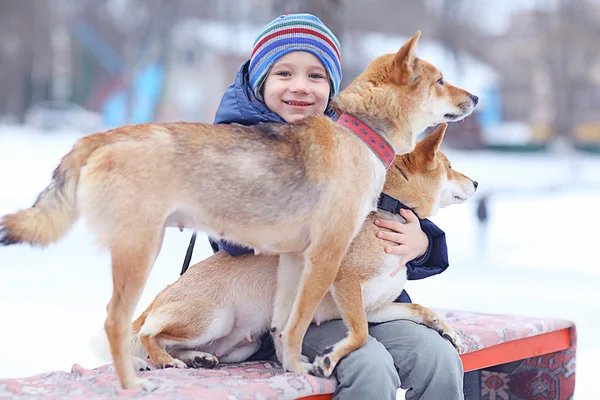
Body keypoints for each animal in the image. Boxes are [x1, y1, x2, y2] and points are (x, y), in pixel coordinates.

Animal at [92, 123, 478, 376]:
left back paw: (196, 359)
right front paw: (330, 358)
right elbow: (361, 334)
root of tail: (158, 298)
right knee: (149, 334)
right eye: (449, 166)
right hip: (213, 318)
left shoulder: (376, 307)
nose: (475, 182)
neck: (388, 207)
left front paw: (447, 329)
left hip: (240, 344)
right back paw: (166, 360)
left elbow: (420, 310)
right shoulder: (344, 281)